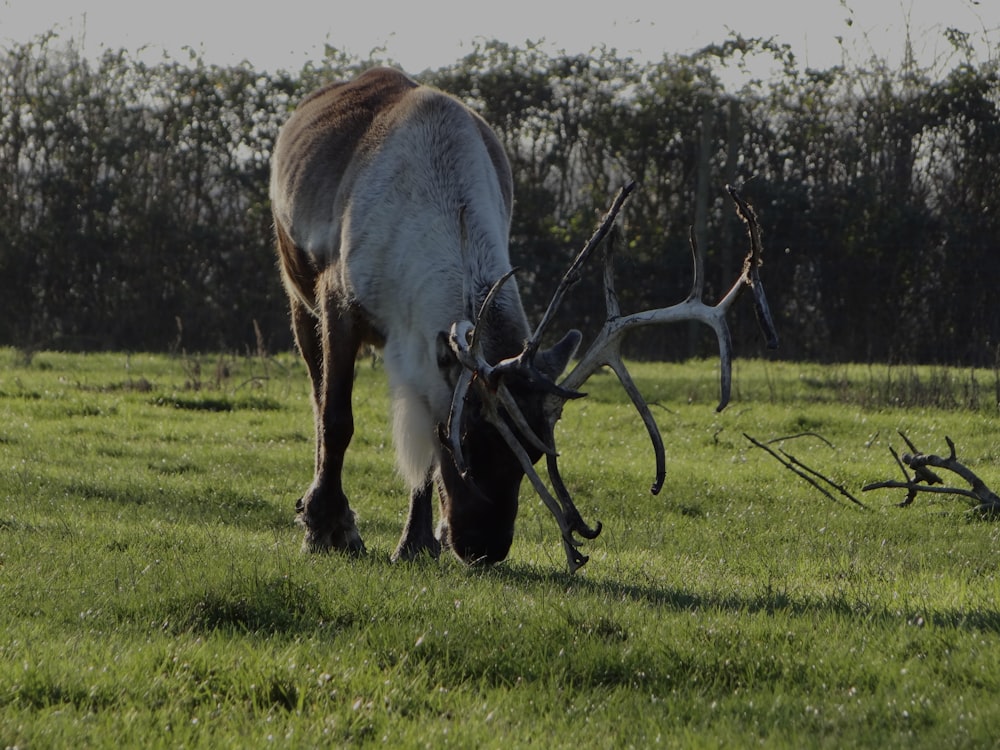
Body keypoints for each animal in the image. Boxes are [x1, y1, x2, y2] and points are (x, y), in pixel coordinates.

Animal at [270, 67, 776, 572]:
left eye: (533, 452)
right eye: (465, 442)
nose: (486, 548)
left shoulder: (428, 356)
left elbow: (424, 443)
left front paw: (416, 542)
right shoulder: (339, 302)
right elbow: (337, 419)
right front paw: (328, 529)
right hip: (296, 293)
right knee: (317, 398)